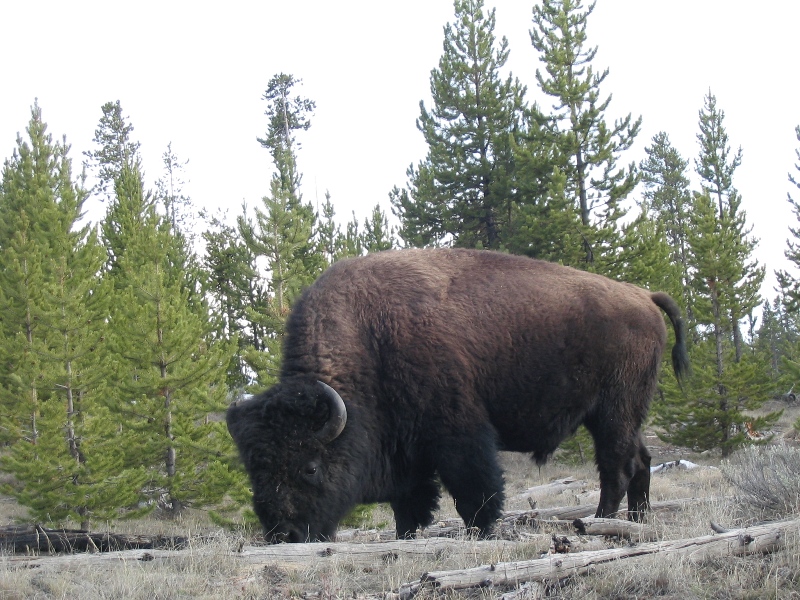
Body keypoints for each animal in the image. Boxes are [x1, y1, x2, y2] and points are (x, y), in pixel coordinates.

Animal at [228, 248, 692, 544]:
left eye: (309, 467)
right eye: (253, 469)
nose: (284, 536)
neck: (371, 338)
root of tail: (643, 295)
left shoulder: (457, 432)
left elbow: (475, 490)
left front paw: (480, 533)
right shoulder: (407, 450)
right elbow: (410, 501)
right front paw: (406, 536)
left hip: (613, 413)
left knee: (617, 468)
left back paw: (600, 523)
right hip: (626, 415)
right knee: (642, 462)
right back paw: (637, 523)